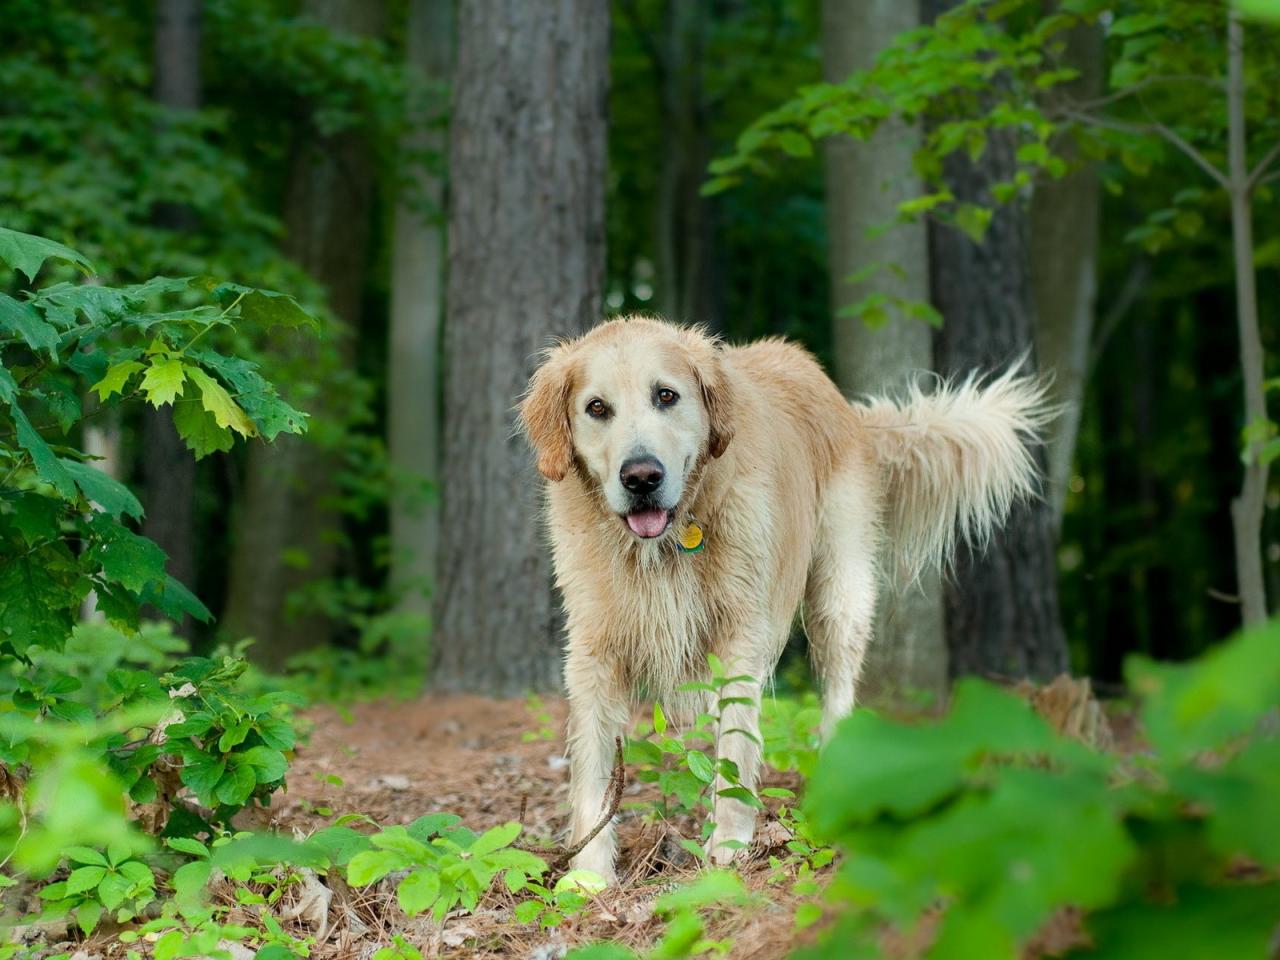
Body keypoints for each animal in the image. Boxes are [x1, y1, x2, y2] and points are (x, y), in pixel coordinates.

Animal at [519, 316, 1049, 885]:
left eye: (666, 395)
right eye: (597, 408)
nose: (642, 477)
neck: (665, 545)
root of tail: (843, 403)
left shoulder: (742, 633)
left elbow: (734, 744)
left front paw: (729, 846)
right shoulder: (592, 649)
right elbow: (593, 764)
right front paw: (589, 874)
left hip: (839, 595)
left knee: (838, 695)